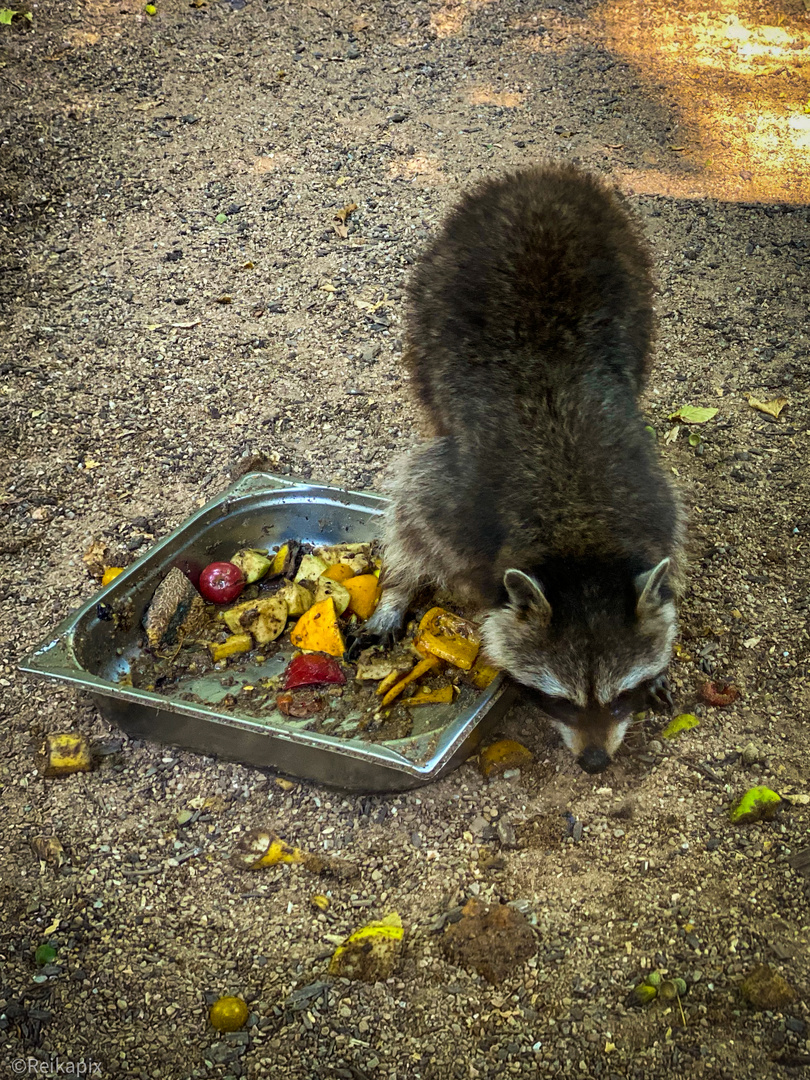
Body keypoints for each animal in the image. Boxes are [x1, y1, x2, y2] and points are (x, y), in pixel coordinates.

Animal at [365, 159, 686, 773]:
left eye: (620, 696)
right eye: (558, 700)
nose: (594, 763)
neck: (579, 536)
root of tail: (542, 176)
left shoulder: (650, 496)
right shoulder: (456, 504)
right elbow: (413, 517)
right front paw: (397, 588)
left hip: (635, 281)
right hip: (432, 291)